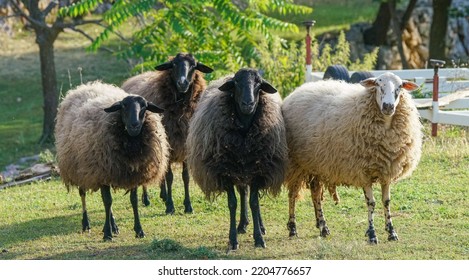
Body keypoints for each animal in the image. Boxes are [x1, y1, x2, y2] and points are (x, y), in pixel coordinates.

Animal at [54, 81, 169, 241]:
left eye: (144, 106)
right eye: (123, 106)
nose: (134, 125)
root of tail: (84, 87)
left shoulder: (133, 174)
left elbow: (133, 200)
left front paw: (138, 230)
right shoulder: (101, 173)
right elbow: (107, 201)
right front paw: (107, 233)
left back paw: (113, 225)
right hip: (78, 169)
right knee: (83, 194)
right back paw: (86, 223)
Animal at [120, 53, 212, 214]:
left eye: (194, 65)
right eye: (173, 64)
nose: (182, 82)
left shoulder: (184, 145)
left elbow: (185, 177)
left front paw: (188, 206)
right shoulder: (169, 144)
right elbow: (169, 176)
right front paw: (170, 206)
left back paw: (162, 195)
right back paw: (147, 199)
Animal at [186, 68, 288, 249]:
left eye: (259, 84)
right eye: (236, 83)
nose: (248, 103)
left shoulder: (258, 171)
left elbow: (254, 203)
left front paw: (259, 238)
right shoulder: (225, 171)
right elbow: (233, 203)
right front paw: (233, 239)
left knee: (250, 197)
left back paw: (260, 226)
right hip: (239, 169)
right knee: (243, 193)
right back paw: (242, 224)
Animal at [282, 71, 420, 243]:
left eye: (400, 86)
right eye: (377, 84)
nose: (388, 106)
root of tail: (299, 89)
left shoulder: (386, 171)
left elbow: (386, 202)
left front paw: (391, 232)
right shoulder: (363, 171)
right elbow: (371, 203)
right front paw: (372, 234)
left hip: (317, 163)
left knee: (315, 193)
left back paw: (323, 227)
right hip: (296, 163)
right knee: (292, 194)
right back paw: (293, 228)